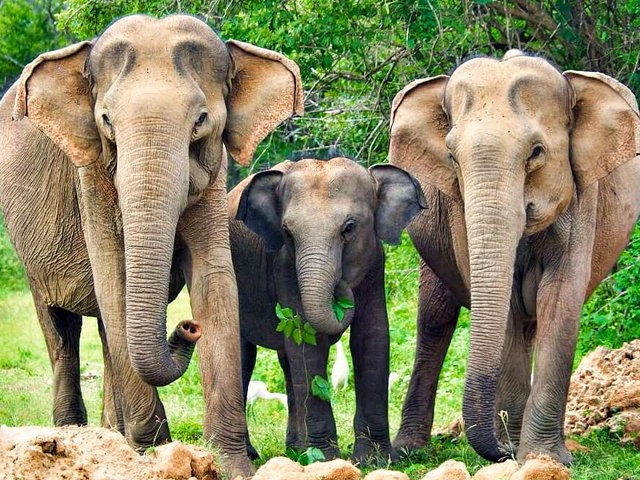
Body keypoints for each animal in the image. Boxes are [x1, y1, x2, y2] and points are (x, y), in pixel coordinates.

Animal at [0, 14, 304, 476]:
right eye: (106, 120)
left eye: (201, 119)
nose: (186, 327)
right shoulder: (90, 177)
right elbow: (113, 278)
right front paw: (151, 452)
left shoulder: (214, 177)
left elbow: (215, 279)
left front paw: (232, 464)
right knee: (61, 329)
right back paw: (74, 436)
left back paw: (112, 434)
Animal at [228, 159, 428, 464]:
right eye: (287, 233)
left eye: (349, 228)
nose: (342, 285)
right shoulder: (284, 267)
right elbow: (306, 340)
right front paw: (325, 459)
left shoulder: (375, 263)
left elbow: (372, 337)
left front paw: (375, 460)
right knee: (245, 356)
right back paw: (258, 454)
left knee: (287, 363)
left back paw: (296, 449)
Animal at [388, 49, 640, 464]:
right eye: (451, 157)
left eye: (536, 152)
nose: (502, 450)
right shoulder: (458, 211)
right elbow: (504, 305)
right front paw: (519, 452)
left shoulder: (583, 197)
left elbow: (560, 297)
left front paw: (543, 458)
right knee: (435, 320)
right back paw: (409, 451)